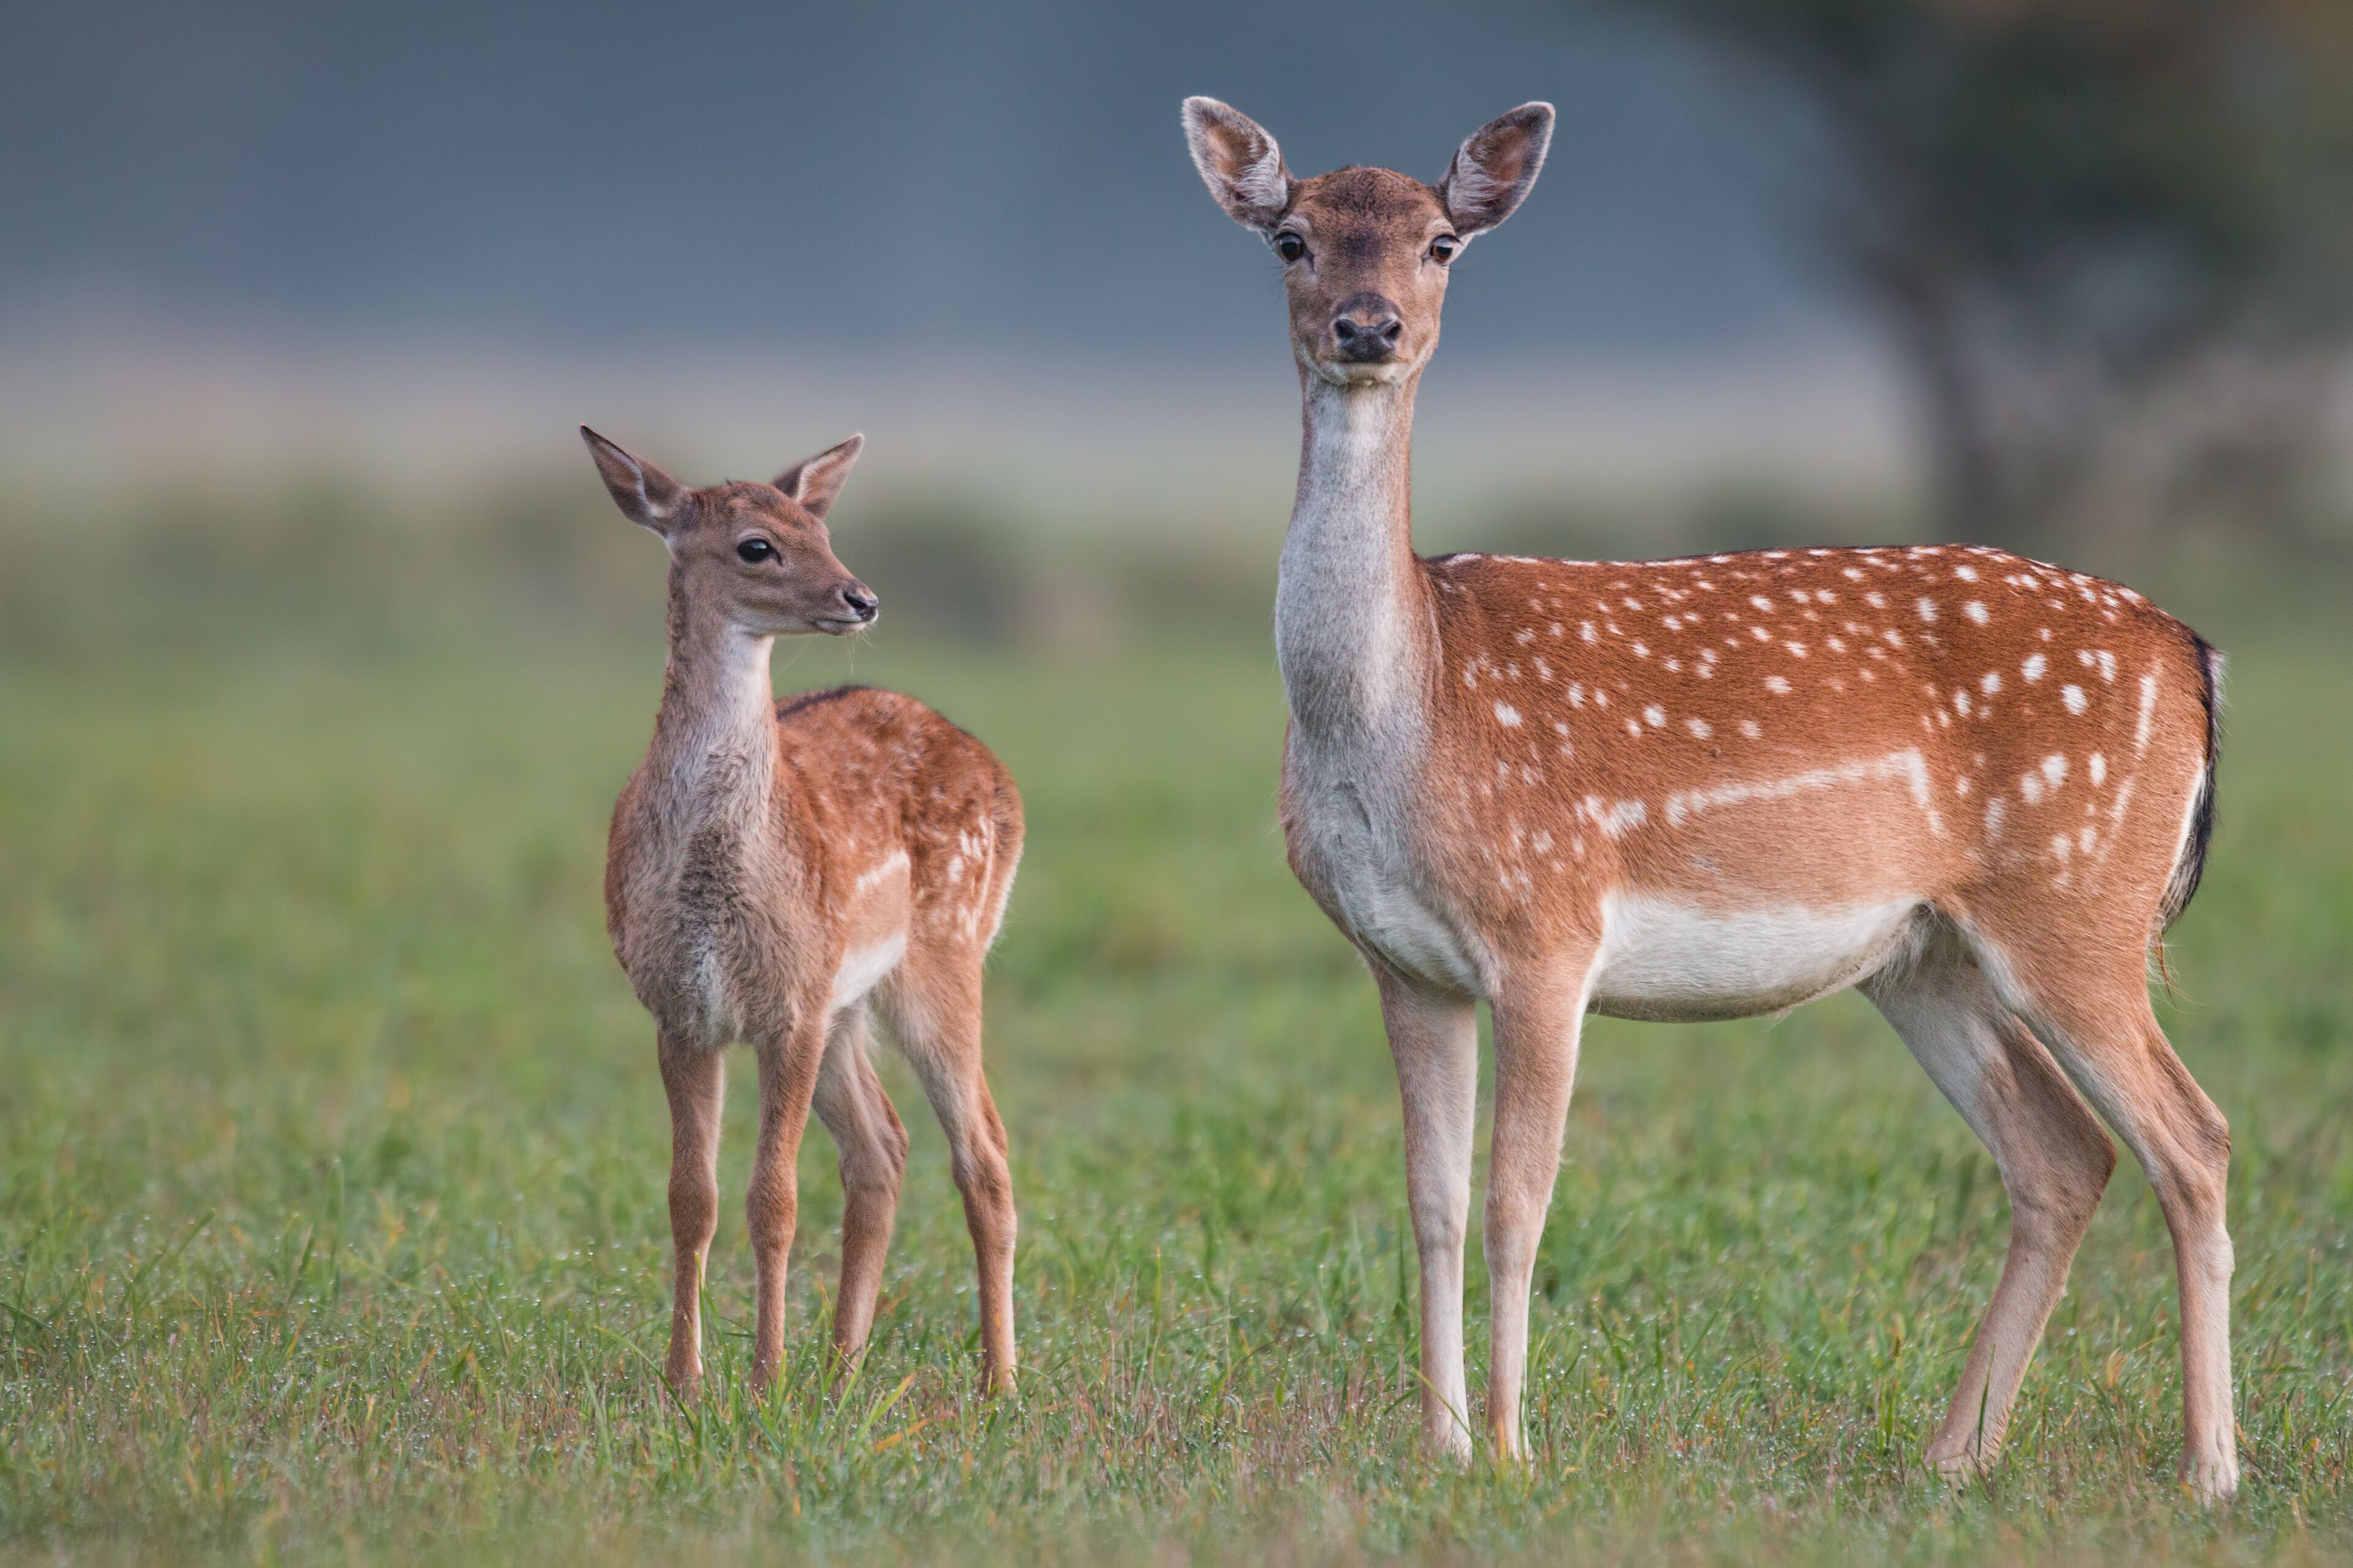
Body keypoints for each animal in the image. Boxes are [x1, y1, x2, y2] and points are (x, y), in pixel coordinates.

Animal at [582, 426, 1023, 1400]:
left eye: (821, 528)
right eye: (758, 545)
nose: (861, 597)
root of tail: (997, 768)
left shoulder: (787, 1004)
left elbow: (773, 1198)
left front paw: (762, 1378)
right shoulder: (684, 1007)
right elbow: (693, 1197)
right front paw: (685, 1382)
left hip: (945, 954)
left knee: (984, 1152)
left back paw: (999, 1382)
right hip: (846, 1000)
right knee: (883, 1149)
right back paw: (845, 1363)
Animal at [1181, 98, 2236, 1497]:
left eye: (1441, 243)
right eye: (1292, 238)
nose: (1369, 325)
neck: (1409, 704)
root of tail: (2193, 653)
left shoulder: (1548, 926)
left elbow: (1520, 1200)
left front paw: (1512, 1450)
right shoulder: (1403, 959)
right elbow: (1432, 1198)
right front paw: (1441, 1443)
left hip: (2080, 901)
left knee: (2193, 1138)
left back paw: (2208, 1469)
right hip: (1929, 954)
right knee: (2067, 1153)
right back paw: (1954, 1456)